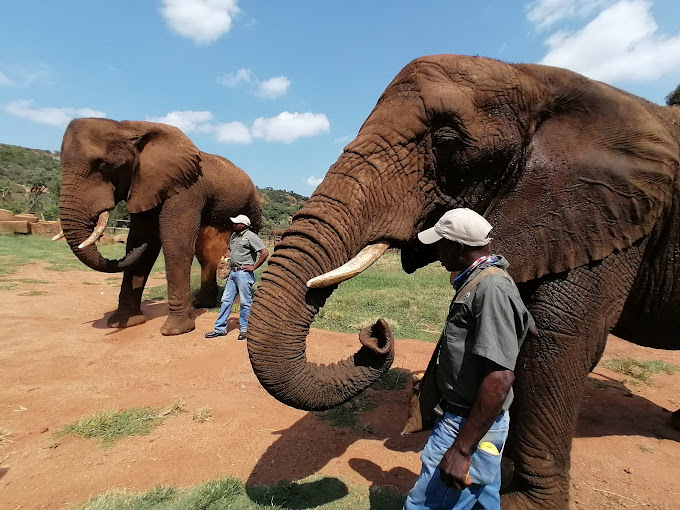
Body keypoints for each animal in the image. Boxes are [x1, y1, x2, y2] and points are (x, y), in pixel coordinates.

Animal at [59, 118, 262, 335]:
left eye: (105, 165)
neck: (128, 127)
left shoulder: (185, 191)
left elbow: (176, 246)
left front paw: (175, 331)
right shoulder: (143, 186)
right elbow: (139, 244)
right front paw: (123, 323)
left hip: (252, 207)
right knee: (206, 254)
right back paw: (202, 305)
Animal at [245, 55, 680, 509]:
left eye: (447, 140)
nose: (375, 333)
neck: (537, 80)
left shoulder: (608, 213)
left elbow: (557, 339)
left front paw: (523, 502)